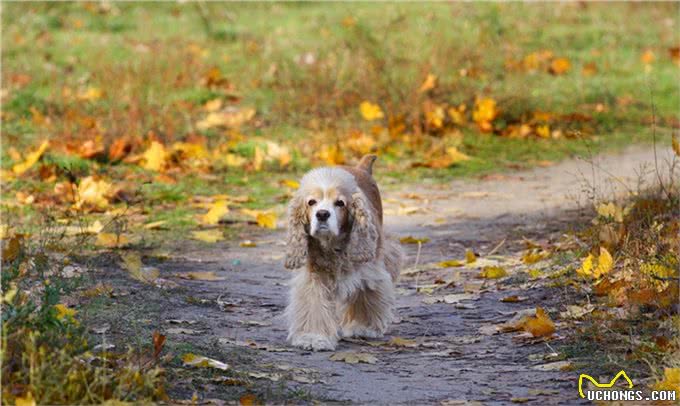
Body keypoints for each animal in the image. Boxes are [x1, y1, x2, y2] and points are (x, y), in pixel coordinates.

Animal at [282, 154, 402, 350]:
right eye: (311, 202)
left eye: (340, 203)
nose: (322, 214)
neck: (332, 243)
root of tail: (361, 167)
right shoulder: (314, 275)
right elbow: (314, 303)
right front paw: (313, 337)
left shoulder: (368, 270)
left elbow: (364, 294)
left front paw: (363, 327)